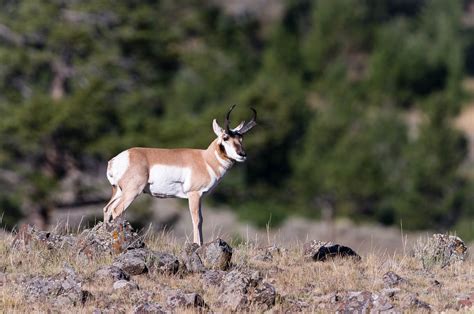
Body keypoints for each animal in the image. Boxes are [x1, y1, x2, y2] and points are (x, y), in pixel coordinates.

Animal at [103, 105, 256, 245]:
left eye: (241, 138)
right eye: (225, 137)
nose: (242, 154)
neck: (205, 159)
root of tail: (116, 159)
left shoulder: (200, 197)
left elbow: (201, 219)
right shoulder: (194, 194)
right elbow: (196, 219)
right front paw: (197, 244)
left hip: (118, 191)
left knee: (107, 209)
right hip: (132, 191)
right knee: (116, 210)